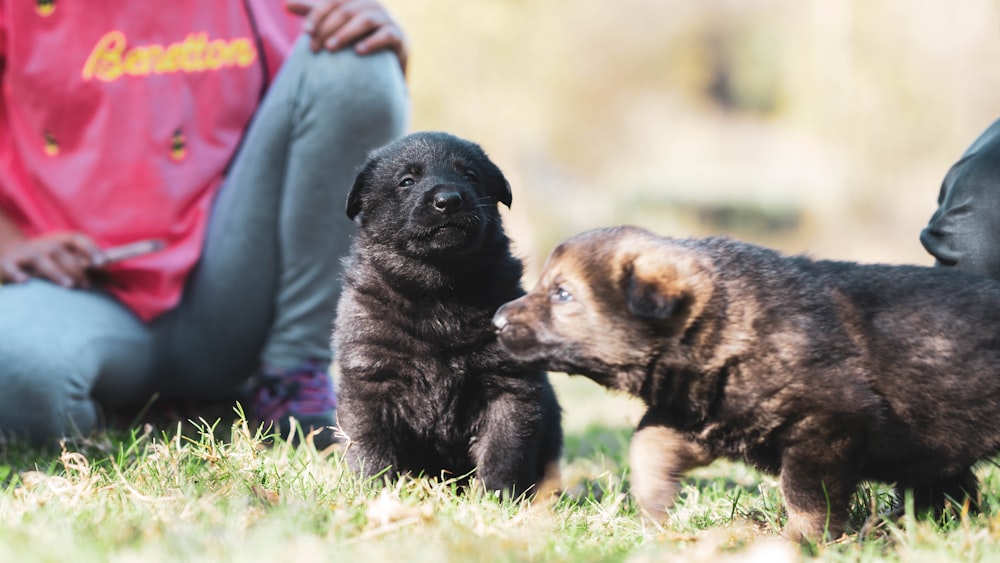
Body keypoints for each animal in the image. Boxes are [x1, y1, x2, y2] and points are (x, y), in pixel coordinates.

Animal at [332, 132, 560, 498]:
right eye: (406, 181)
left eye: (470, 176)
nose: (449, 200)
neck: (437, 293)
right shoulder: (369, 379)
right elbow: (369, 443)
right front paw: (374, 490)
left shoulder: (508, 385)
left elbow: (503, 449)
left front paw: (495, 498)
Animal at [494, 225, 1000, 540]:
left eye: (563, 294)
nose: (497, 320)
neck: (723, 327)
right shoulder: (697, 416)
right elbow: (647, 445)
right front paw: (653, 511)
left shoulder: (828, 425)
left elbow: (806, 496)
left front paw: (802, 541)